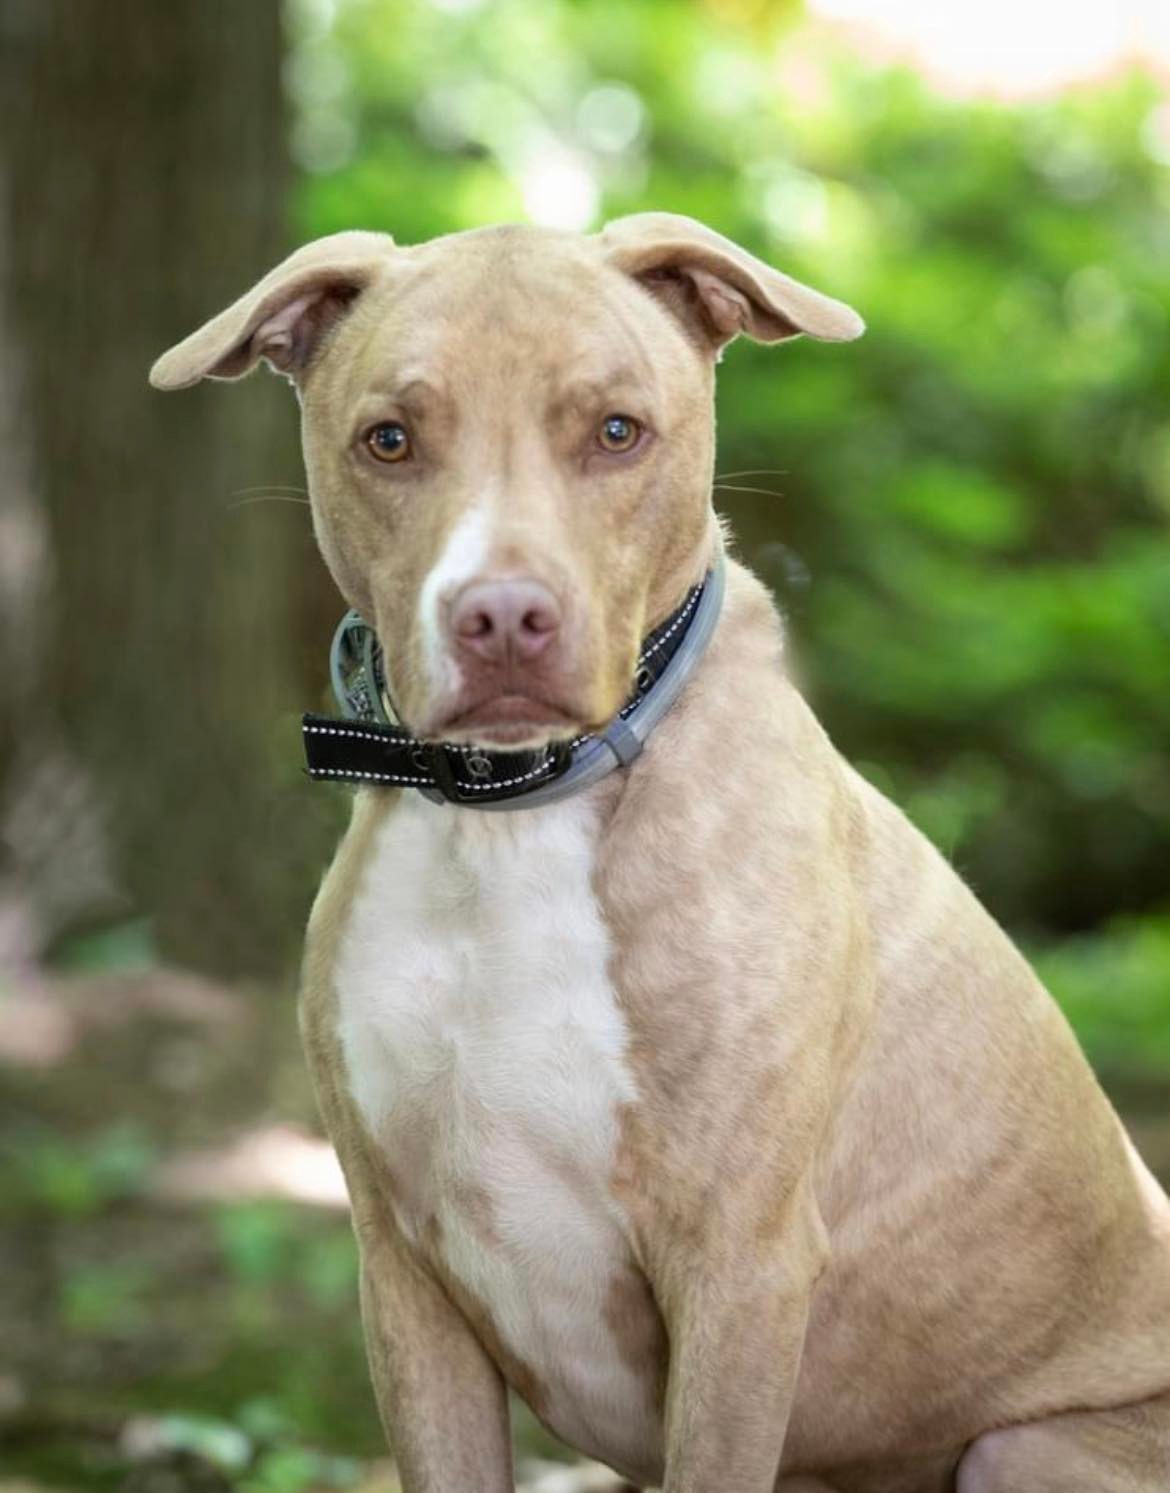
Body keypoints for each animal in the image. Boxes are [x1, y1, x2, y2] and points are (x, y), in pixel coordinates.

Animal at [150, 217, 1164, 1493]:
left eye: (618, 430)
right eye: (389, 440)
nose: (502, 616)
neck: (510, 819)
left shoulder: (740, 1268)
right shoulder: (404, 1274)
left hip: (1026, 1446)